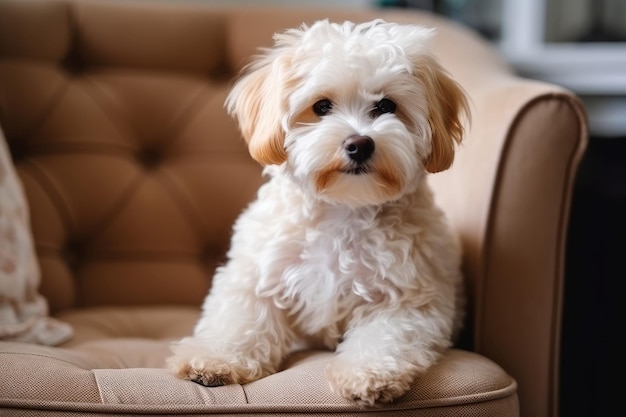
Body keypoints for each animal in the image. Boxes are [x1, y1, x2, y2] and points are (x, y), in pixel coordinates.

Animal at [166, 17, 468, 404]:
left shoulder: (410, 298)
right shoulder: (256, 273)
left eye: (386, 106)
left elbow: (386, 336)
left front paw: (367, 374)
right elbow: (242, 318)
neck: (343, 207)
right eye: (322, 107)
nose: (359, 143)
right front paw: (215, 358)